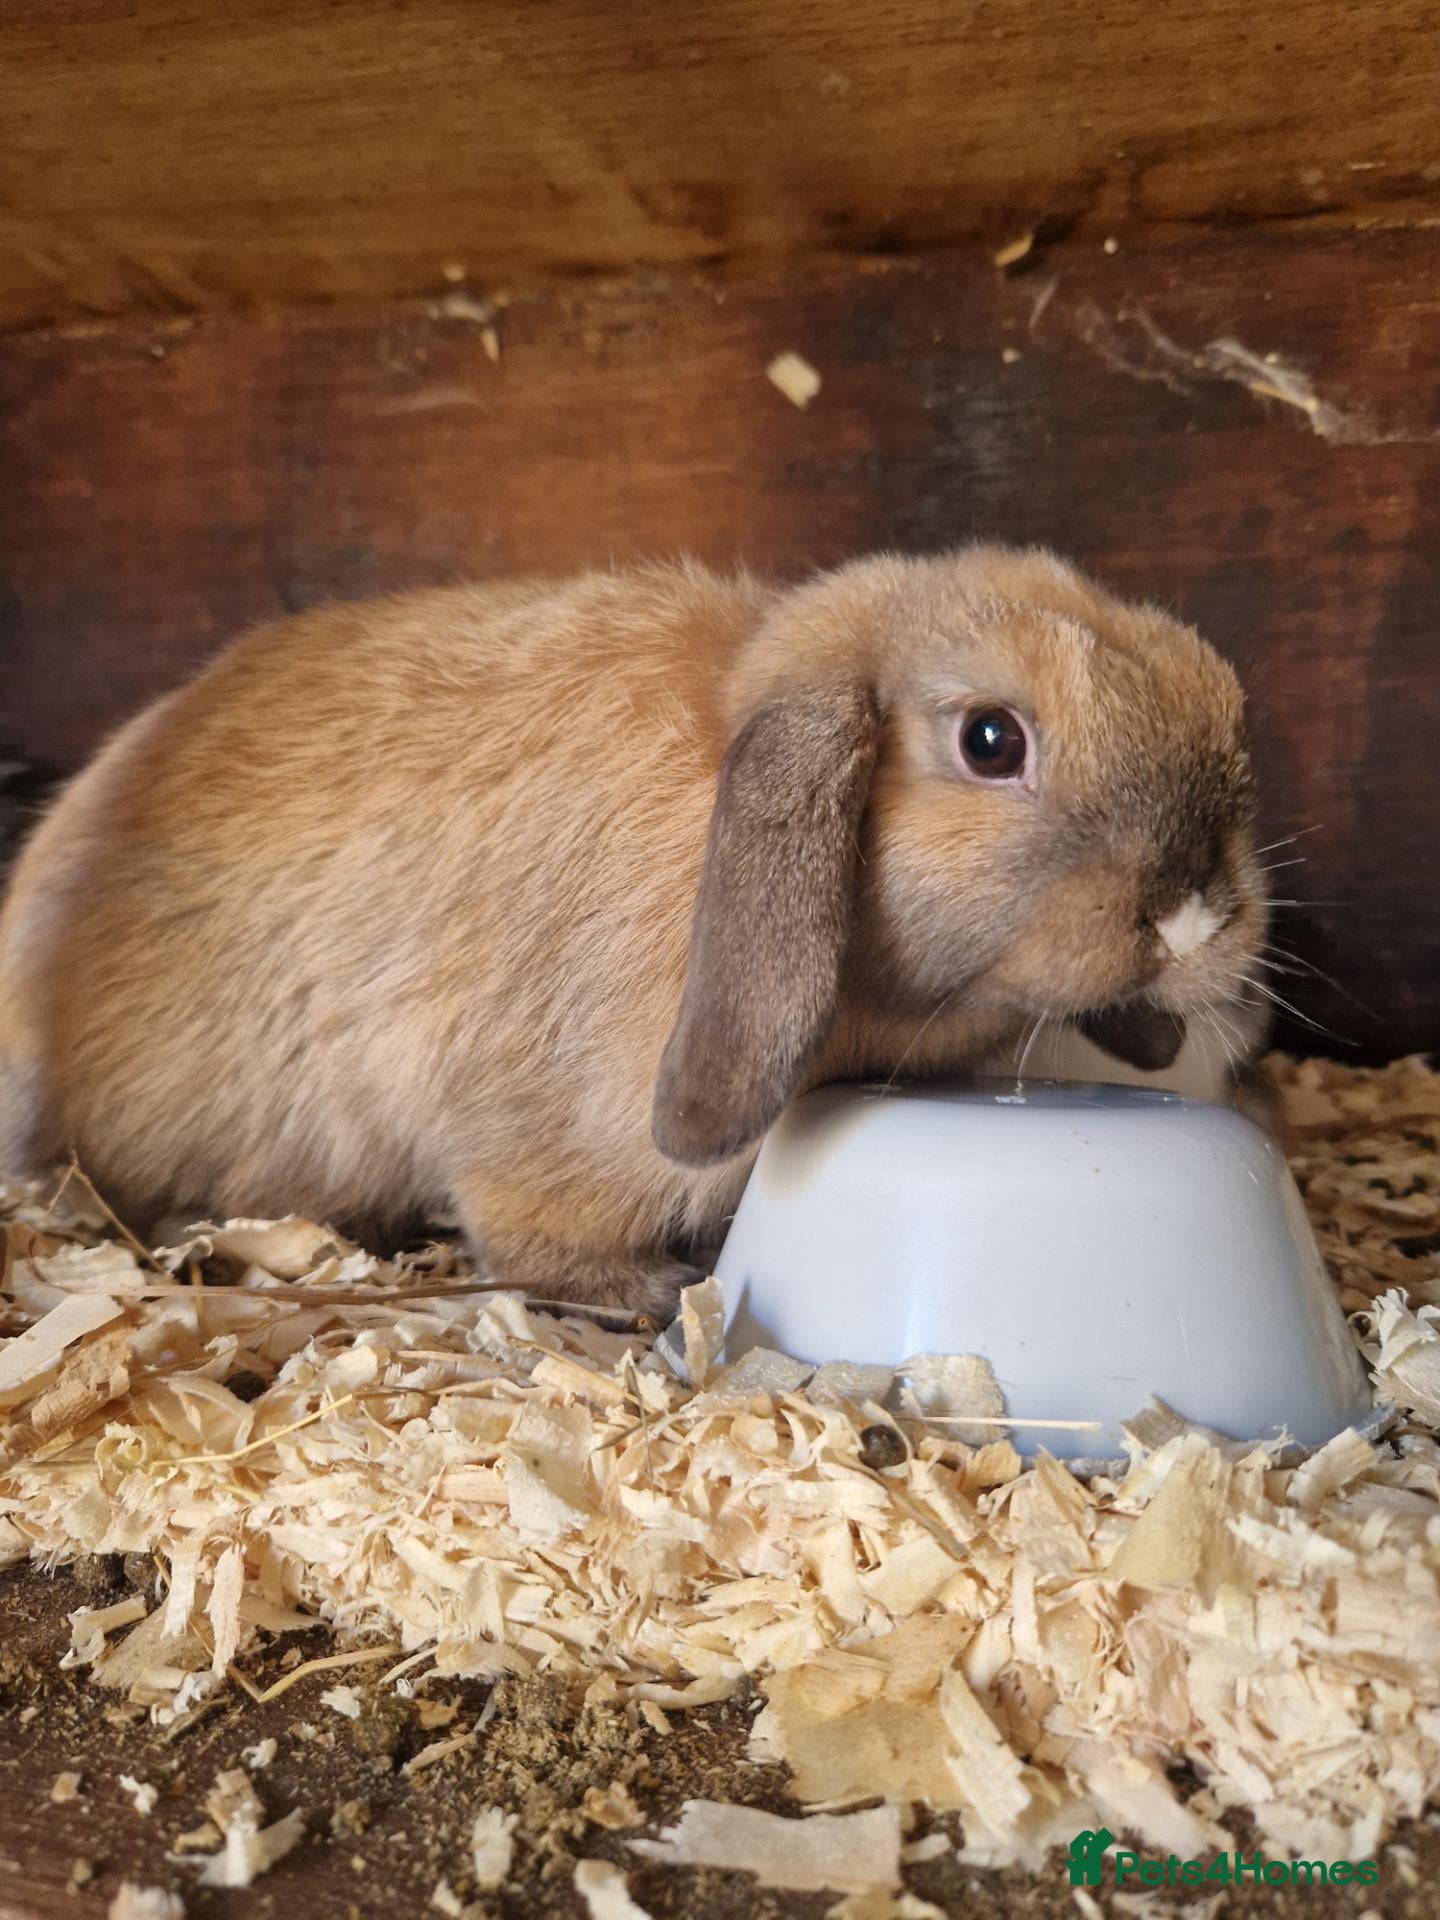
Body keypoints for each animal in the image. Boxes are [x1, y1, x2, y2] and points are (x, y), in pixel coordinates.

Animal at [0, 549, 1270, 1316]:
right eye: (993, 741)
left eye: (1224, 701)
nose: (1202, 912)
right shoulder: (547, 1128)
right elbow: (532, 1230)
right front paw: (646, 1294)